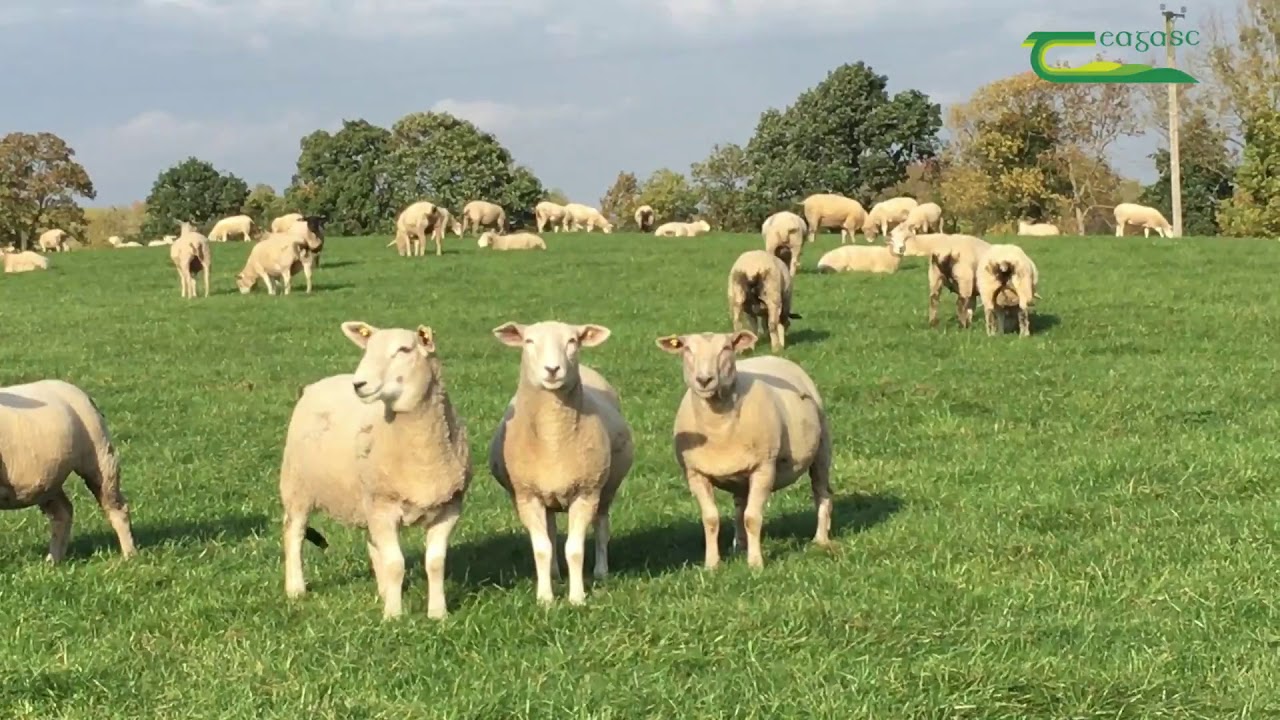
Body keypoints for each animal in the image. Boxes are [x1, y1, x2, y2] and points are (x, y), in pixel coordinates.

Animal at [0, 379, 136, 562]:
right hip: (48, 480)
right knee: (63, 513)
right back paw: (53, 561)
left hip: (100, 456)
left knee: (117, 508)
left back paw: (130, 555)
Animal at [280, 322, 472, 619]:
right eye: (367, 349)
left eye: (404, 349)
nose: (359, 384)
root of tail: (316, 385)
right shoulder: (384, 507)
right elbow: (396, 564)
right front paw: (393, 616)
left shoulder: (449, 508)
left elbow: (435, 563)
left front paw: (438, 613)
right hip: (297, 486)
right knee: (294, 533)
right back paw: (296, 589)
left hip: (364, 498)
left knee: (372, 543)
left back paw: (383, 591)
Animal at [488, 321, 634, 605]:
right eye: (529, 341)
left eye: (572, 341)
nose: (553, 369)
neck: (553, 439)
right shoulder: (527, 496)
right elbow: (542, 548)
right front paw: (545, 598)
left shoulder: (586, 493)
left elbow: (575, 549)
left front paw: (577, 598)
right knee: (552, 531)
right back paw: (555, 574)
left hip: (606, 488)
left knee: (602, 526)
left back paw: (601, 571)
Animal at [653, 330, 832, 569]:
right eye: (687, 349)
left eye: (726, 348)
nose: (704, 380)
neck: (718, 428)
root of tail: (773, 357)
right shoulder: (695, 474)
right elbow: (711, 519)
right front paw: (712, 565)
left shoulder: (763, 469)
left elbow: (752, 518)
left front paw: (755, 564)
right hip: (740, 478)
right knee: (739, 507)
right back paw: (740, 545)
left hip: (821, 449)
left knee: (821, 492)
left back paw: (821, 539)